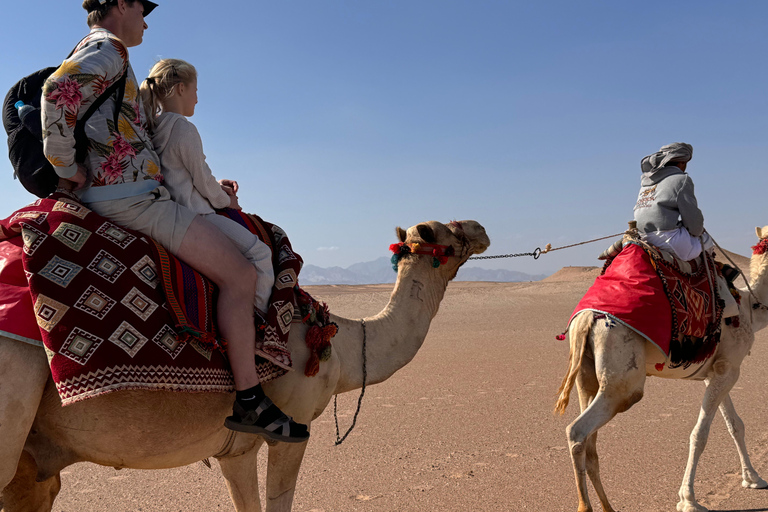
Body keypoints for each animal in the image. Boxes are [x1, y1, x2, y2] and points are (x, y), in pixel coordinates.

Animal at [554, 227, 768, 512]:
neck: (749, 307)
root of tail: (586, 319)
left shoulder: (717, 372)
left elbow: (735, 425)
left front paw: (753, 478)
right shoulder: (729, 369)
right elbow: (700, 435)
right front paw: (688, 500)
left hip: (585, 377)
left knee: (590, 442)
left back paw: (608, 506)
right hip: (622, 382)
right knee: (578, 432)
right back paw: (585, 506)